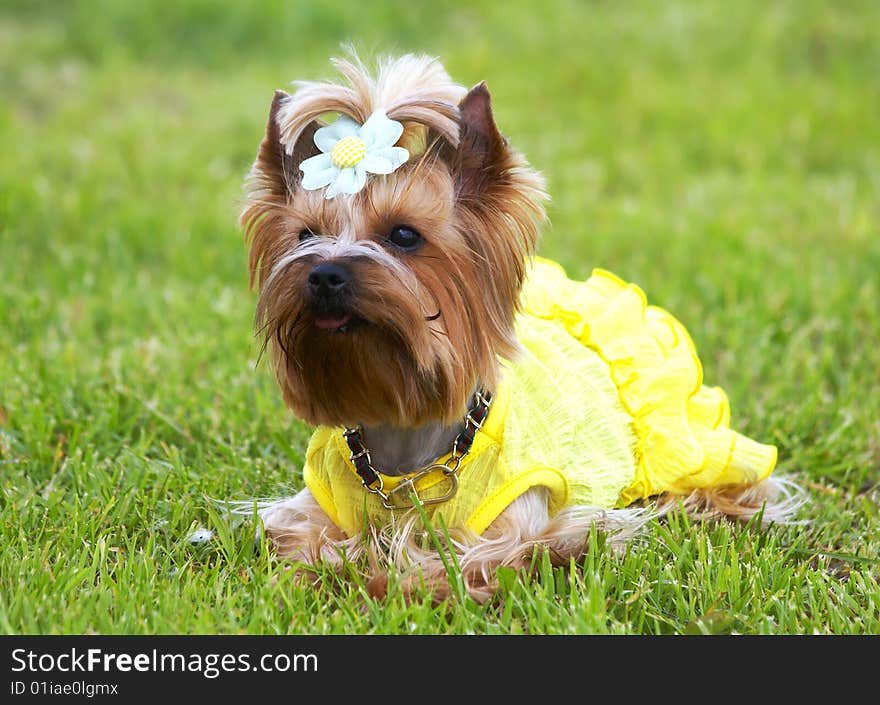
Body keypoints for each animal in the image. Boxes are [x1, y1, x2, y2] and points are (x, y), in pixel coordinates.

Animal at [237, 52, 800, 600]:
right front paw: (330, 572)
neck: (407, 436)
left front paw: (391, 583)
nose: (323, 274)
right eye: (305, 235)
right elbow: (303, 542)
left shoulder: (529, 521)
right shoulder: (309, 509)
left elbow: (483, 560)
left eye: (403, 235)